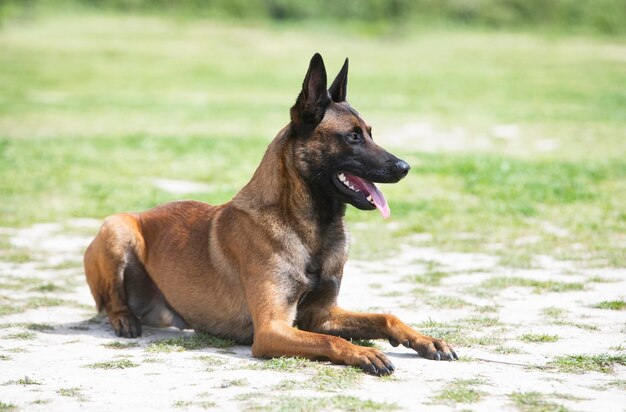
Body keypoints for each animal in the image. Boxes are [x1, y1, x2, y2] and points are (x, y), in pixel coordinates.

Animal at [84, 53, 454, 374]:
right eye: (352, 137)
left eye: (370, 134)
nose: (404, 167)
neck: (310, 228)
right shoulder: (272, 329)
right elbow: (330, 342)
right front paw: (364, 353)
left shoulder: (322, 315)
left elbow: (384, 317)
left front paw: (427, 340)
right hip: (117, 227)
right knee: (112, 300)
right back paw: (124, 319)